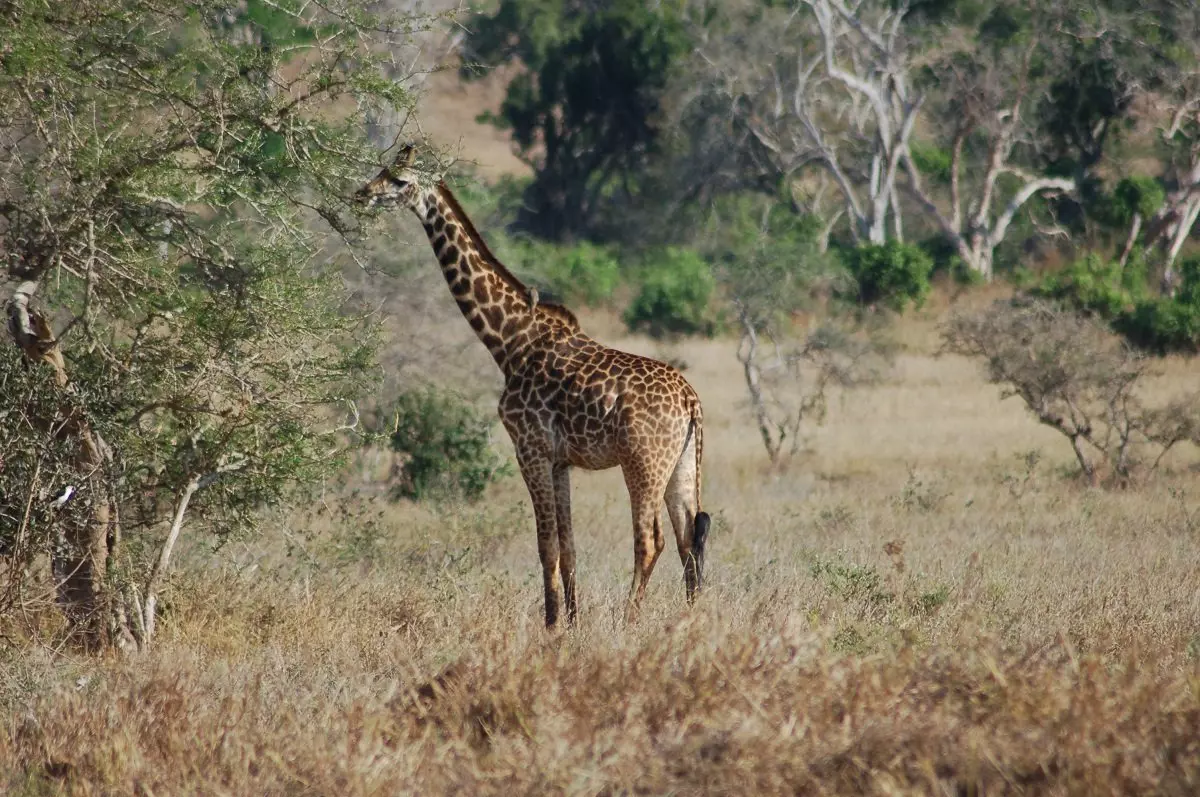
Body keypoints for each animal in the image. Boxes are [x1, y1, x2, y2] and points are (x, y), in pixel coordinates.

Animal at [355, 145, 711, 627]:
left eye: (399, 180)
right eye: (382, 168)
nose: (362, 194)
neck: (509, 341)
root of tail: (690, 401)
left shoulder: (529, 448)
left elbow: (545, 545)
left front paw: (552, 624)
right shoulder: (560, 460)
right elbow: (568, 545)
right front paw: (574, 621)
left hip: (643, 462)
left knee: (651, 539)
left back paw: (627, 620)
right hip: (682, 464)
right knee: (688, 536)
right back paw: (690, 620)